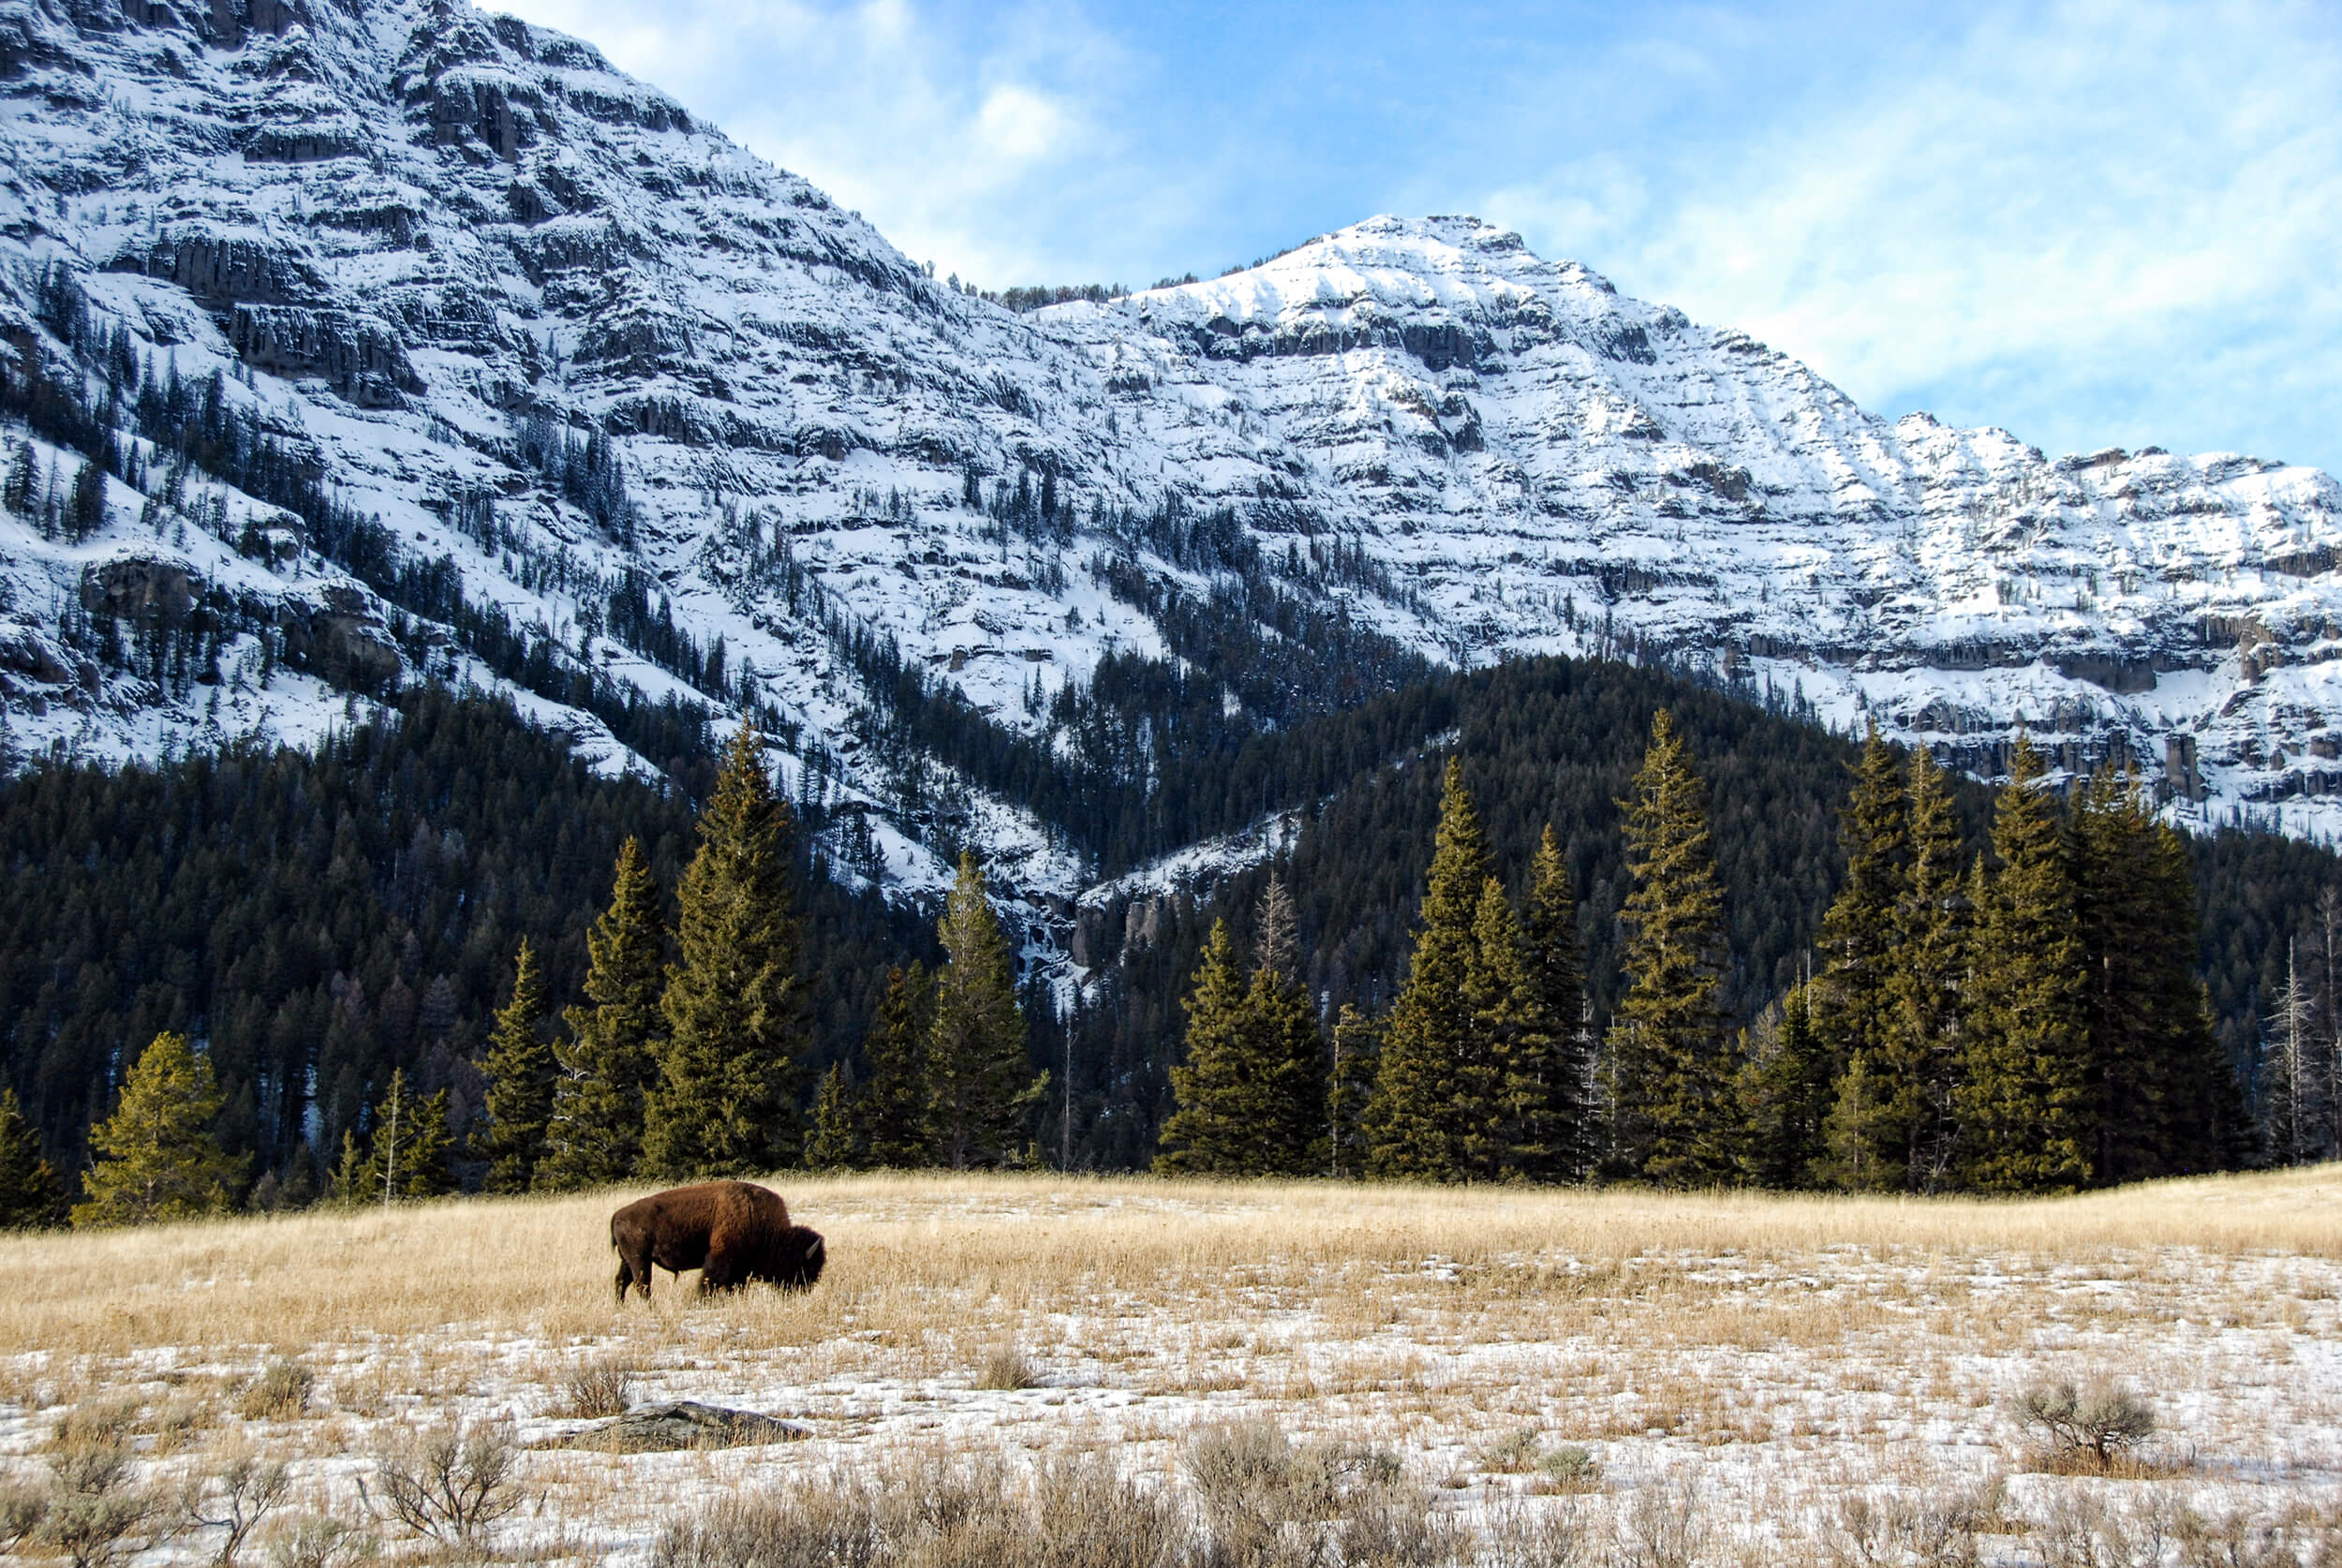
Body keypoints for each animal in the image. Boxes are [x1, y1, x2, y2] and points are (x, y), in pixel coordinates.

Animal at [609, 1184, 829, 1310]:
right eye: (807, 1266)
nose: (805, 1291)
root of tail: (618, 1215)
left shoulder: (740, 1270)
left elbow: (735, 1286)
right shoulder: (720, 1258)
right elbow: (709, 1282)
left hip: (628, 1260)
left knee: (622, 1281)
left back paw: (620, 1307)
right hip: (640, 1260)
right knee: (642, 1284)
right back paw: (652, 1308)